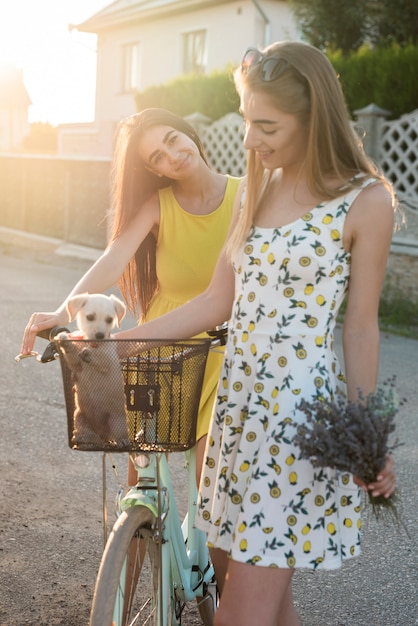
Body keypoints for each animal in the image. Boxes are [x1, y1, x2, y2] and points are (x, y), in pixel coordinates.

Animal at [55, 292, 130, 444]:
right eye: (90, 317)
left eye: (109, 320)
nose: (100, 335)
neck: (93, 344)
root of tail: (102, 433)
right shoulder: (76, 364)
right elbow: (72, 352)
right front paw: (65, 341)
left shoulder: (110, 361)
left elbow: (100, 357)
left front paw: (89, 354)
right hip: (79, 417)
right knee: (89, 435)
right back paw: (83, 437)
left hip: (117, 422)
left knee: (119, 435)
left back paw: (123, 441)